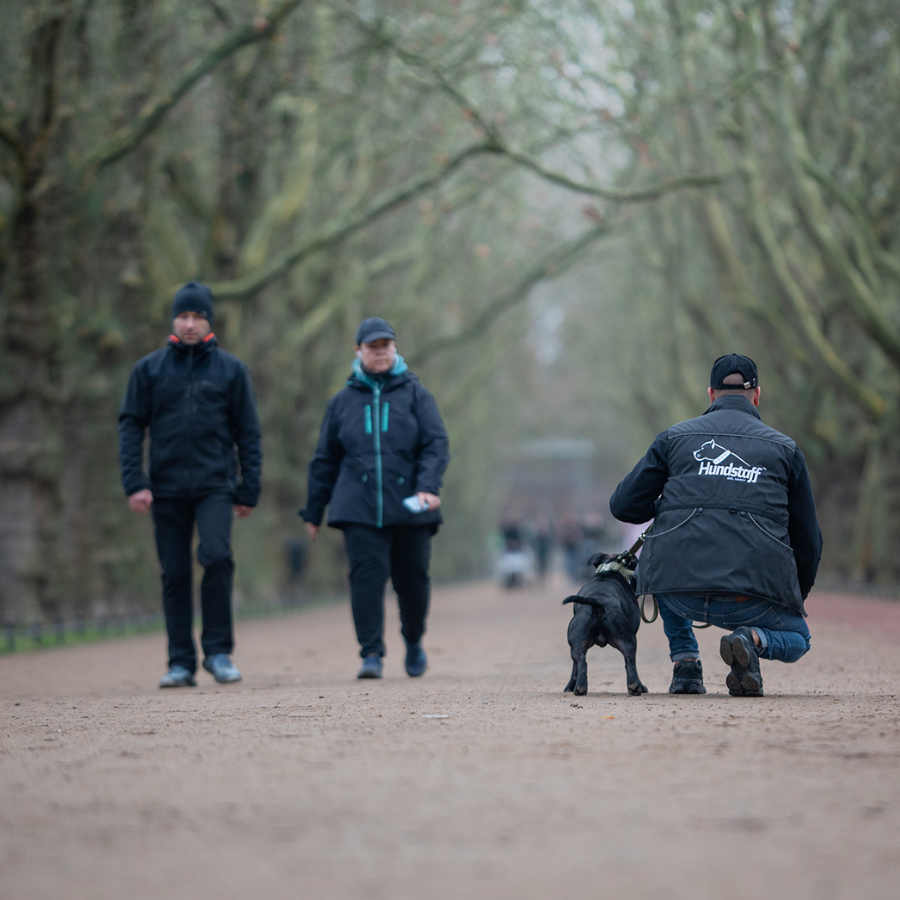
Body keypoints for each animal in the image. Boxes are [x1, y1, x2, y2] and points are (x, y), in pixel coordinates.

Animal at [563, 551, 648, 696]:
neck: (611, 570)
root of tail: (598, 602)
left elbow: (574, 668)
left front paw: (570, 686)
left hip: (578, 643)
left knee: (581, 662)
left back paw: (580, 687)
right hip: (629, 640)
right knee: (630, 661)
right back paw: (636, 686)